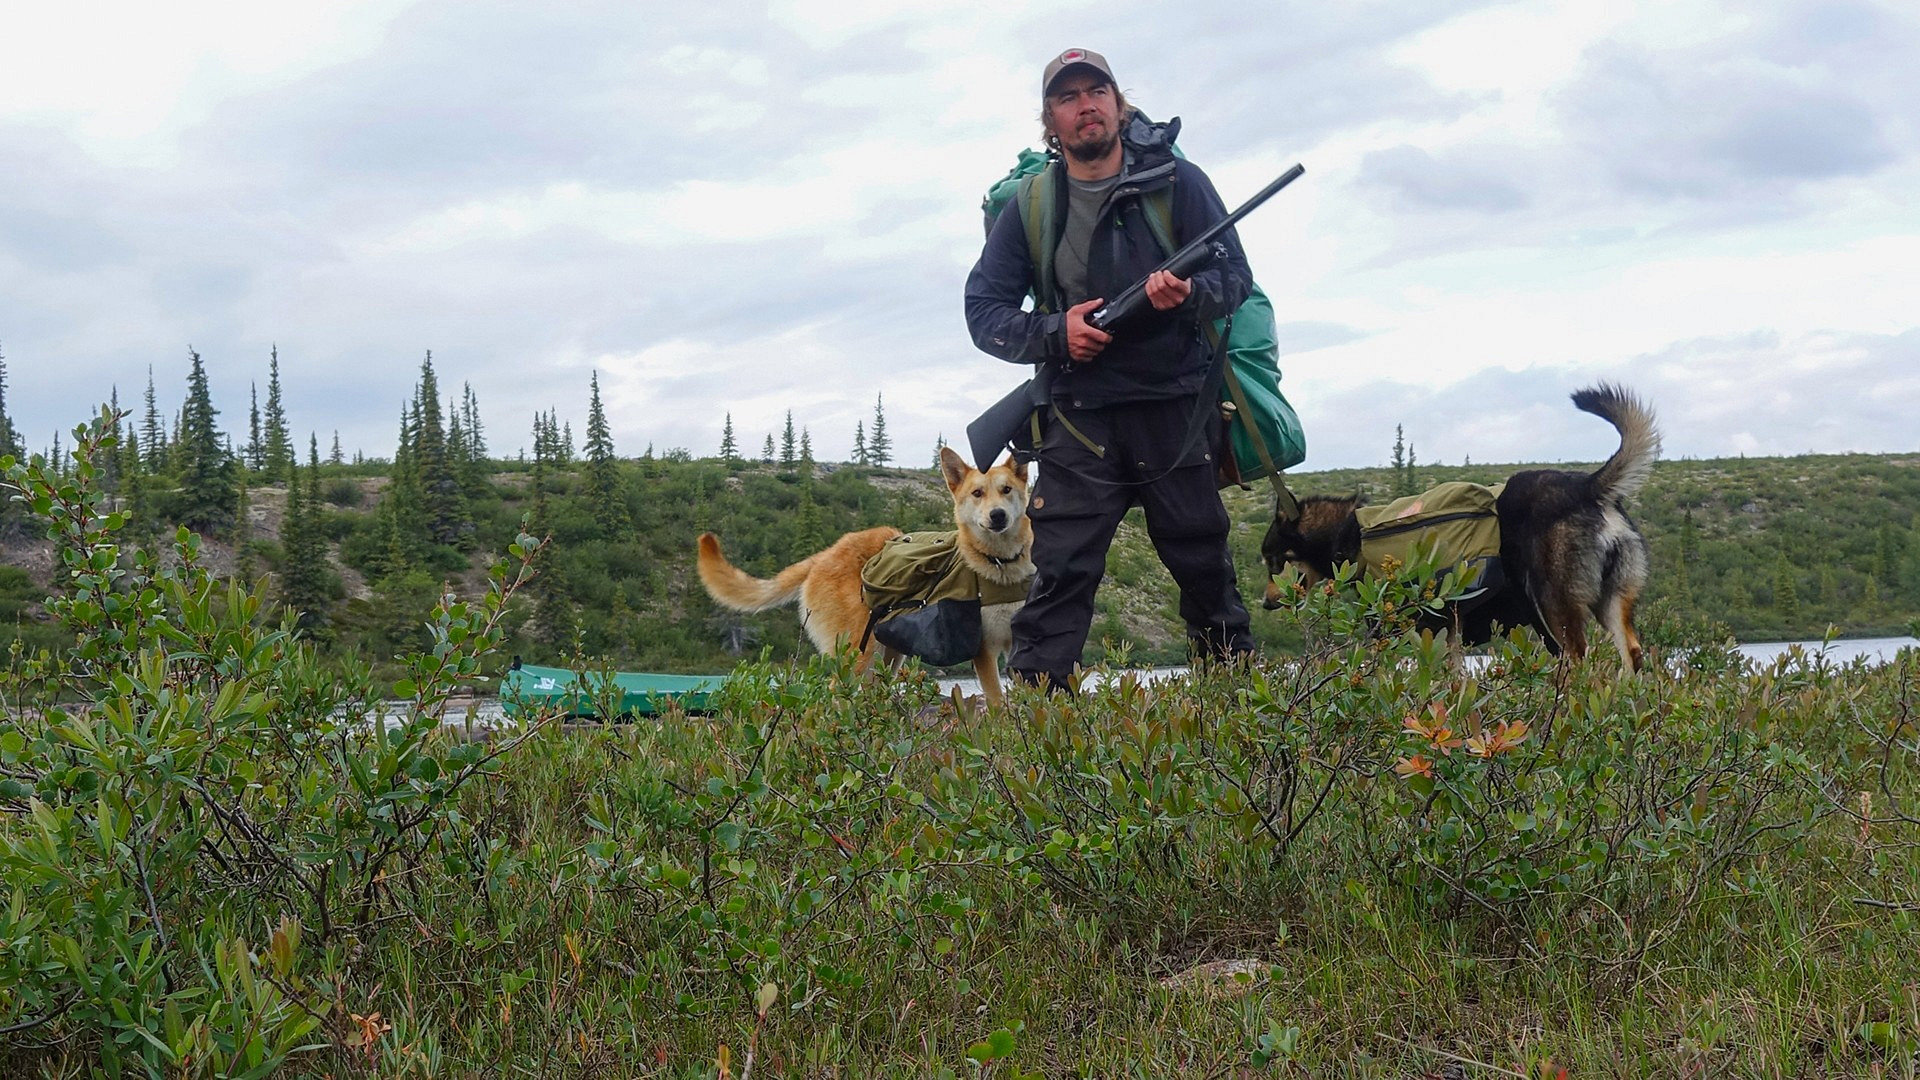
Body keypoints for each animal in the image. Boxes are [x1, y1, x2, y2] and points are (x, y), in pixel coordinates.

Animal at [698, 443, 1036, 703]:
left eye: (1007, 490)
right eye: (977, 493)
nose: (997, 516)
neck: (999, 564)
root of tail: (823, 556)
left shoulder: (1017, 648)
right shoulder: (984, 652)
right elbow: (997, 705)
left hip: (887, 656)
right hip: (858, 655)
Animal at [1267, 382, 1658, 668]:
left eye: (1274, 559)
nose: (1267, 603)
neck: (1352, 530)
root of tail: (1589, 487)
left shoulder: (1410, 628)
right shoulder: (1447, 631)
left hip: (1553, 608)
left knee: (1579, 661)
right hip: (1610, 601)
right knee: (1631, 656)